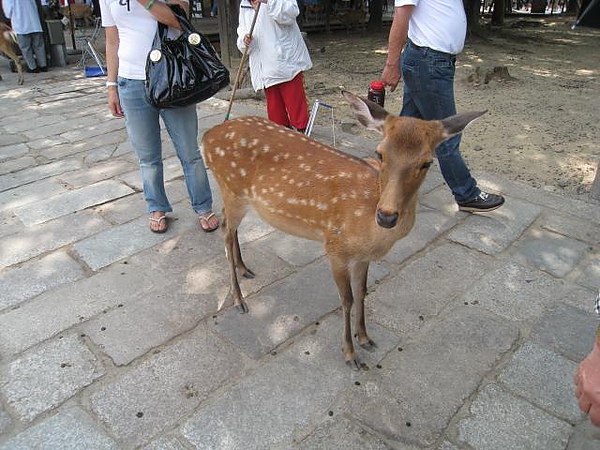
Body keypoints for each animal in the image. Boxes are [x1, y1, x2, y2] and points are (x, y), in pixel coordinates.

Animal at [204, 91, 486, 370]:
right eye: (380, 153)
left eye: (427, 163)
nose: (386, 216)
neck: (371, 230)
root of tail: (207, 137)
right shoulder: (335, 247)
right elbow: (347, 299)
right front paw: (350, 354)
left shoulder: (362, 256)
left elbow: (363, 292)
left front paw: (365, 338)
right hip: (231, 189)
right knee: (225, 232)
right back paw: (239, 299)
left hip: (238, 197)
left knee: (230, 227)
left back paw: (244, 268)